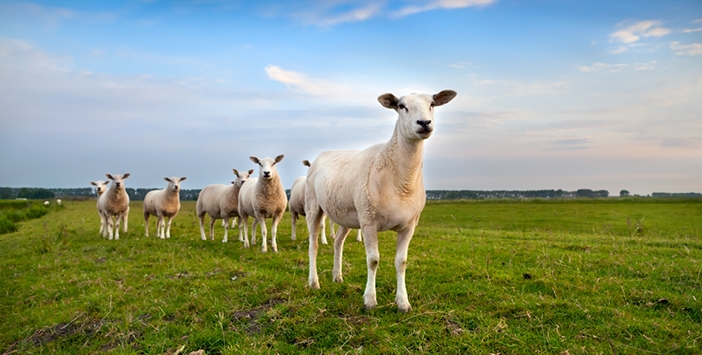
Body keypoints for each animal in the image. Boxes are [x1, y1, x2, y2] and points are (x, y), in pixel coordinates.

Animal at [306, 90, 460, 312]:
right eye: (401, 106)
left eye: (432, 104)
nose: (424, 123)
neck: (401, 182)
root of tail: (322, 154)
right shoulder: (369, 221)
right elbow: (373, 260)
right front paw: (370, 300)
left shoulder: (409, 225)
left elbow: (401, 262)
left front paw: (403, 302)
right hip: (313, 206)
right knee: (314, 244)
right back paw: (313, 282)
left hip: (347, 215)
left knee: (338, 242)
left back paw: (337, 276)